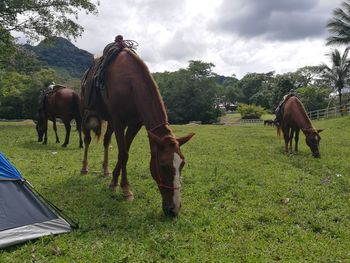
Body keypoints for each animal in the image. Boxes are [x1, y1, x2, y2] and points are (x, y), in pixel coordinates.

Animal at [80, 48, 194, 218]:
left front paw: (114, 182)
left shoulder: (135, 124)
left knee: (106, 141)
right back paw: (84, 168)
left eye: (182, 164)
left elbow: (124, 152)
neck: (130, 83)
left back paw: (105, 170)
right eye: (163, 165)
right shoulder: (119, 121)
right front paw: (125, 190)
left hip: (110, 121)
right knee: (87, 140)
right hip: (85, 114)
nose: (174, 209)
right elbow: (123, 154)